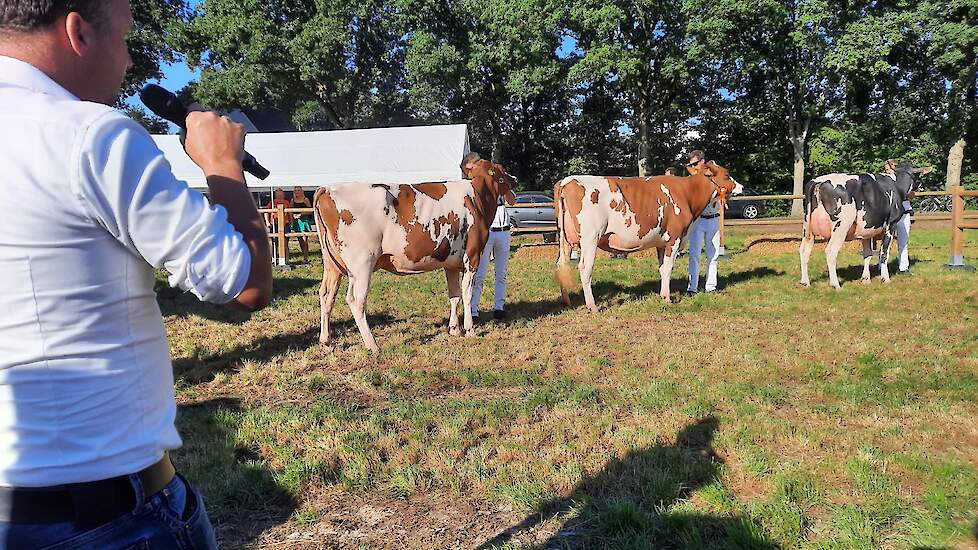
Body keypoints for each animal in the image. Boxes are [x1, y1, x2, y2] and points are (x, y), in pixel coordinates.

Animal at [312, 158, 516, 354]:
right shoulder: (472, 256)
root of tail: (326, 188)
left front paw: (454, 329)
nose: (514, 178)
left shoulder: (450, 263)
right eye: (502, 170)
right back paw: (372, 344)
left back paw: (326, 342)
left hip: (332, 264)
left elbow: (454, 295)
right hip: (362, 262)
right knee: (356, 300)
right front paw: (470, 329)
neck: (477, 197)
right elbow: (467, 294)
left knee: (326, 294)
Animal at [552, 163, 736, 310]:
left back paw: (567, 302)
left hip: (565, 239)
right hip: (590, 237)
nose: (739, 186)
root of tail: (567, 180)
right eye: (727, 175)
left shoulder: (661, 243)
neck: (687, 194)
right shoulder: (674, 239)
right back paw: (592, 306)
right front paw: (668, 299)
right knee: (585, 268)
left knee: (561, 265)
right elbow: (668, 269)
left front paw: (662, 295)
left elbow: (662, 269)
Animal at [796, 164, 928, 292]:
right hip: (841, 226)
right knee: (831, 251)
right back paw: (835, 285)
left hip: (807, 228)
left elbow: (867, 254)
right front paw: (885, 278)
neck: (896, 185)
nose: (921, 186)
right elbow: (884, 253)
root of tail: (819, 181)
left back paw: (805, 282)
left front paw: (865, 279)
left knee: (804, 250)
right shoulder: (891, 224)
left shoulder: (867, 230)